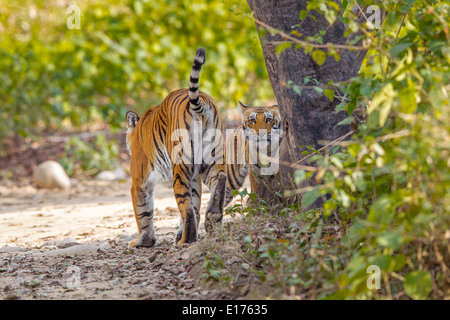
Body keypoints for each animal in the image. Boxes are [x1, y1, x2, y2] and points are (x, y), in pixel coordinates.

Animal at [125, 47, 225, 248]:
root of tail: (202, 102)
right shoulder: (195, 175)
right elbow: (195, 203)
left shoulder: (138, 181)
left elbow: (143, 213)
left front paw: (143, 241)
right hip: (210, 159)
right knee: (220, 179)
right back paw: (212, 219)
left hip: (180, 166)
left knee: (185, 206)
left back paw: (186, 241)